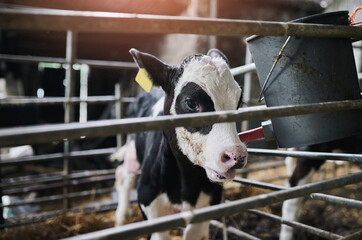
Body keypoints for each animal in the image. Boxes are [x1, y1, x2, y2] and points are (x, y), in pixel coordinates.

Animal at [114, 47, 249, 239]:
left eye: (238, 103)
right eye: (191, 103)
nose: (236, 155)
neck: (186, 184)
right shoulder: (151, 204)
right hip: (133, 149)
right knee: (123, 175)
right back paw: (120, 217)